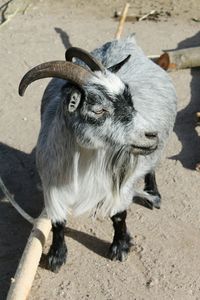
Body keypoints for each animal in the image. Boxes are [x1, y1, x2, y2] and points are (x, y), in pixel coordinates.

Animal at [18, 34, 177, 272]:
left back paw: (153, 195)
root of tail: (125, 41)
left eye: (130, 99)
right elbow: (58, 221)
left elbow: (119, 215)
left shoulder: (122, 183)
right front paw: (56, 256)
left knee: (151, 166)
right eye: (99, 110)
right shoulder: (52, 185)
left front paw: (120, 247)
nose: (151, 135)